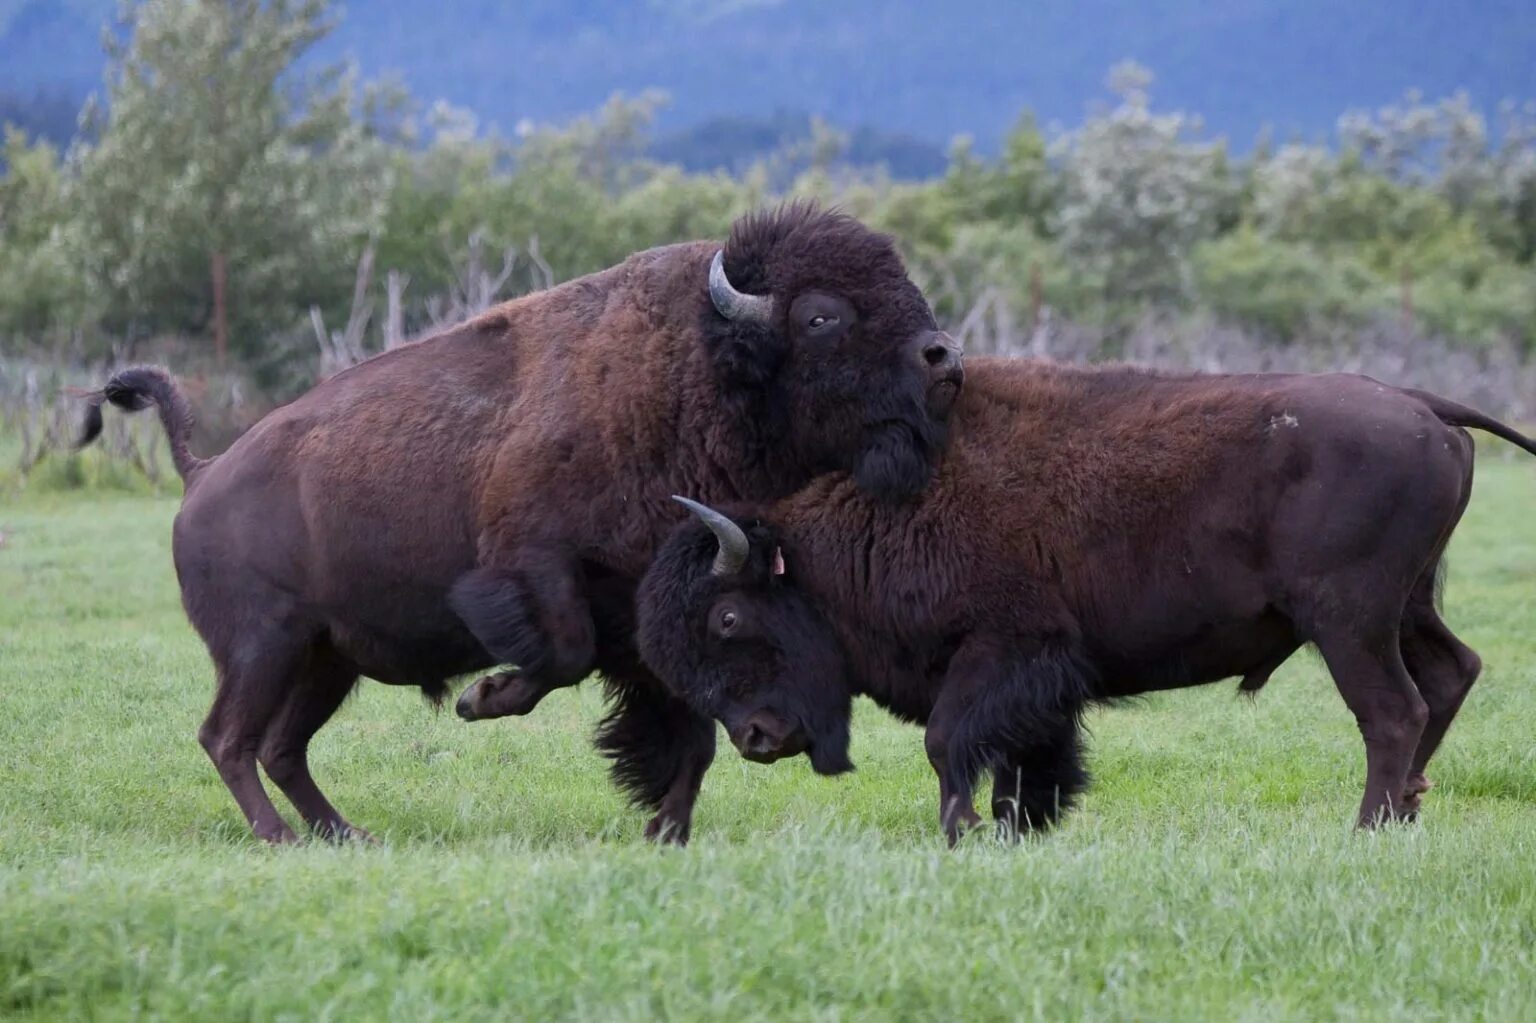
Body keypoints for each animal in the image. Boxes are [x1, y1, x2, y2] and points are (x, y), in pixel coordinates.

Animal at [81, 202, 958, 841]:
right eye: (821, 317)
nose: (943, 356)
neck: (698, 373)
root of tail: (203, 472)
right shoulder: (535, 564)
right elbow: (563, 651)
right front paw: (482, 698)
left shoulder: (659, 621)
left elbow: (687, 732)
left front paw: (665, 829)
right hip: (264, 645)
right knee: (228, 738)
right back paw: (282, 837)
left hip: (326, 658)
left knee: (280, 746)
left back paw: (346, 833)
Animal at [635, 354, 1536, 841]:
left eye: (727, 616)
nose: (755, 737)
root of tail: (1423, 405)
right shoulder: (1038, 682)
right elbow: (1021, 760)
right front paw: (1014, 828)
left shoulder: (1005, 650)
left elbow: (947, 741)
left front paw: (963, 831)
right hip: (1405, 607)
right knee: (1451, 673)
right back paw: (1408, 807)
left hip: (1348, 621)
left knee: (1394, 709)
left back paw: (1368, 824)